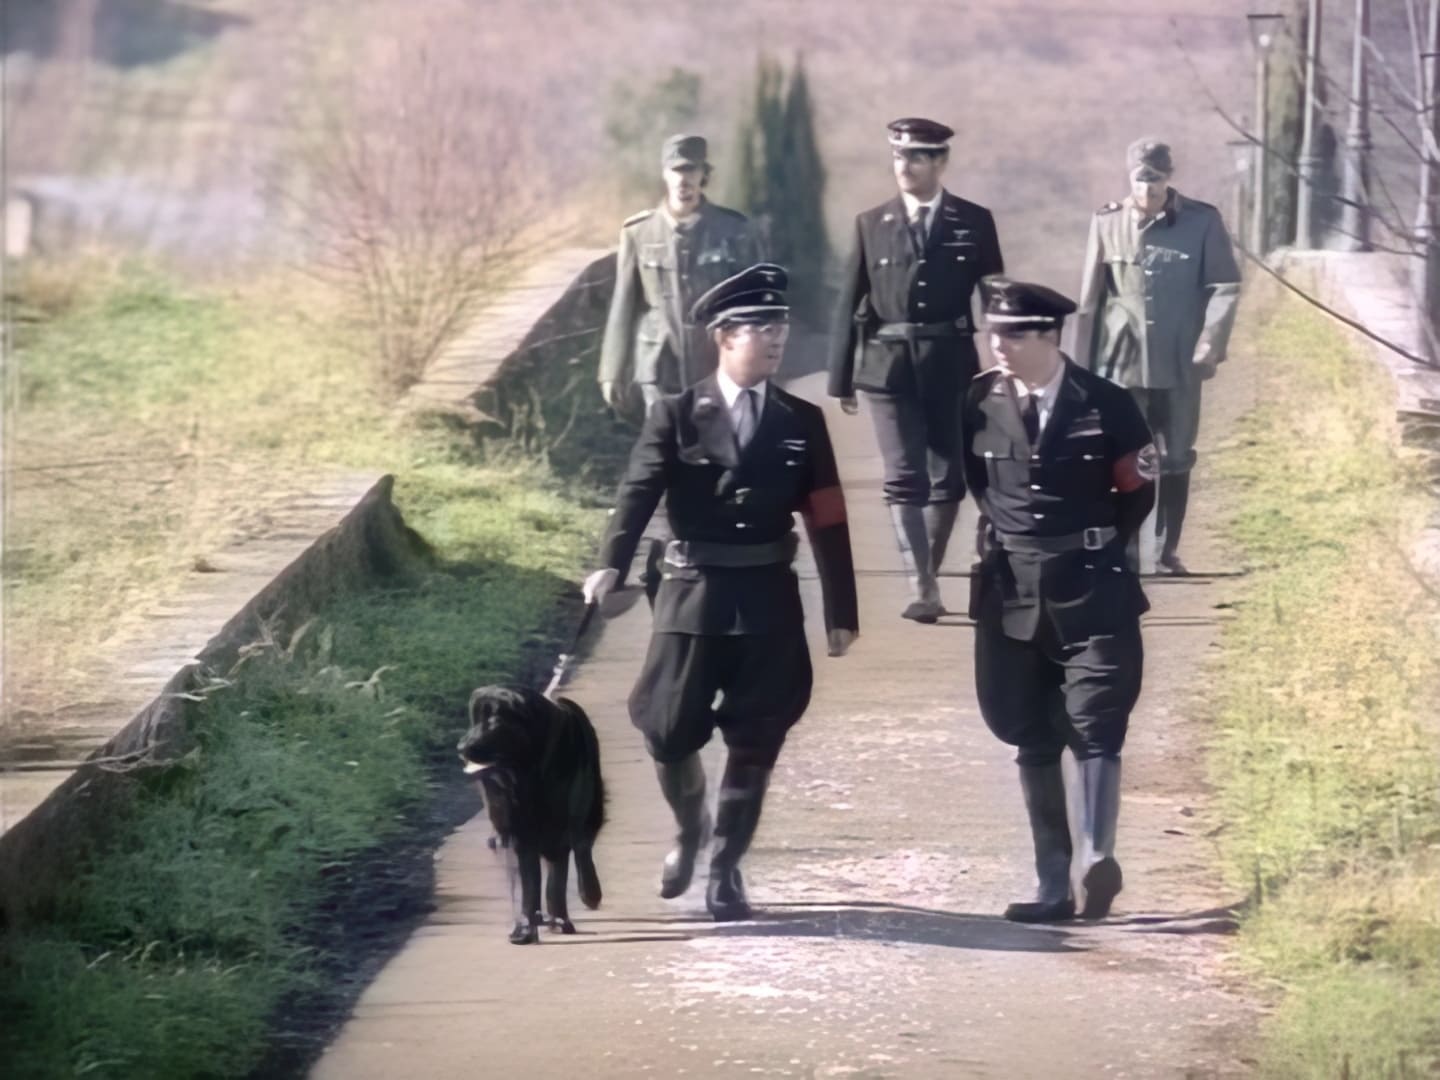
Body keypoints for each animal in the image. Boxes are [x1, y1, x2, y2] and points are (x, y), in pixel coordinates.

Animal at [457, 685, 605, 944]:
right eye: (474, 720)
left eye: (493, 721)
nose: (461, 748)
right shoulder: (521, 830)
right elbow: (531, 881)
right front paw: (526, 928)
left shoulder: (572, 818)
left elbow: (576, 853)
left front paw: (588, 895)